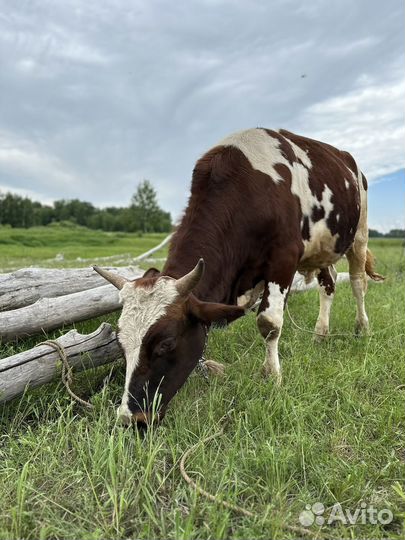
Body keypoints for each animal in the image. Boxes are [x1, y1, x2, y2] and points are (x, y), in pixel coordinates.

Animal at [94, 127, 382, 426]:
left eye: (167, 343)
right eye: (120, 343)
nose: (130, 417)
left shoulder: (283, 259)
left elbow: (269, 323)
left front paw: (272, 377)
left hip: (359, 235)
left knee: (358, 282)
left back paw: (362, 327)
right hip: (323, 247)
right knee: (328, 285)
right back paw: (320, 333)